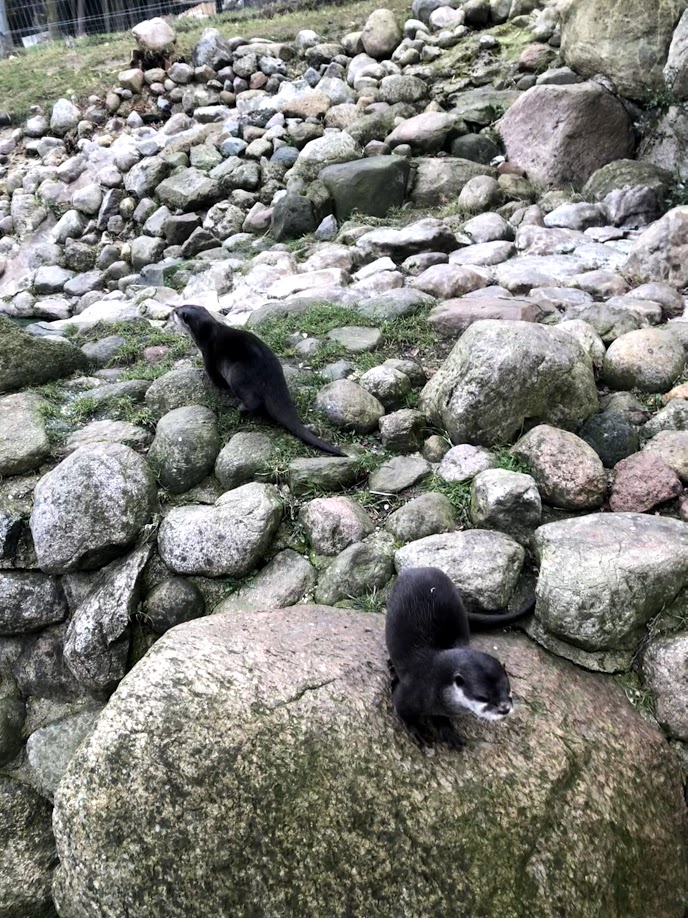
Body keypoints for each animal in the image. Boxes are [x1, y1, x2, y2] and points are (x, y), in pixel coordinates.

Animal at [173, 305, 345, 457]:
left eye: (178, 312)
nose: (172, 311)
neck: (207, 334)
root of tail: (270, 380)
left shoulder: (208, 354)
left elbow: (214, 377)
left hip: (237, 374)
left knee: (252, 401)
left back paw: (240, 409)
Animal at [385, 566, 535, 748]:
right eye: (483, 697)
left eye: (508, 690)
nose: (505, 709)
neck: (433, 683)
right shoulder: (409, 692)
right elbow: (403, 712)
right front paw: (418, 731)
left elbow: (440, 718)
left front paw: (447, 731)